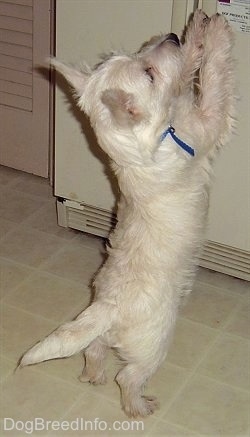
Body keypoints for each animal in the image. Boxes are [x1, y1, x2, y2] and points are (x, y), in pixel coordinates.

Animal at [20, 11, 235, 416]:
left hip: (106, 335)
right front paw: (214, 33)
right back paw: (140, 406)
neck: (145, 144)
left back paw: (92, 376)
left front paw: (196, 31)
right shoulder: (204, 122)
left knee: (93, 349)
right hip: (153, 342)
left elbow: (188, 76)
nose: (171, 35)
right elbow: (214, 82)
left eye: (139, 56)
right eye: (148, 72)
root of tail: (107, 308)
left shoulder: (183, 109)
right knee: (129, 376)